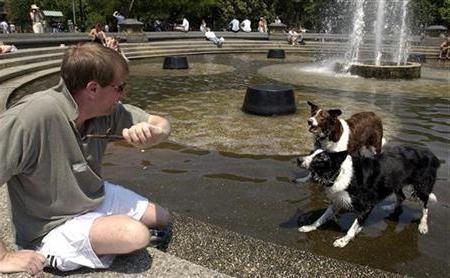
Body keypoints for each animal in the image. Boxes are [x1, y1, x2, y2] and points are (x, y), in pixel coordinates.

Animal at [296, 146, 440, 248]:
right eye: (310, 153)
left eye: (320, 158)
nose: (299, 160)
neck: (338, 174)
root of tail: (431, 154)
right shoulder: (337, 201)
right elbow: (322, 217)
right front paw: (310, 227)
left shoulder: (367, 205)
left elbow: (352, 227)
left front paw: (343, 240)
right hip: (395, 182)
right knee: (401, 197)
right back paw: (390, 207)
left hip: (421, 186)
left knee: (425, 206)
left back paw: (423, 225)